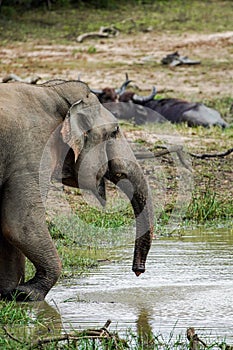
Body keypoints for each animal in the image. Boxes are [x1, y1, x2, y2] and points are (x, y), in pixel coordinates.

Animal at [0, 79, 154, 300]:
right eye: (115, 131)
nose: (138, 271)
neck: (53, 92)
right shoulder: (31, 154)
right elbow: (19, 223)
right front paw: (27, 294)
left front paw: (11, 294)